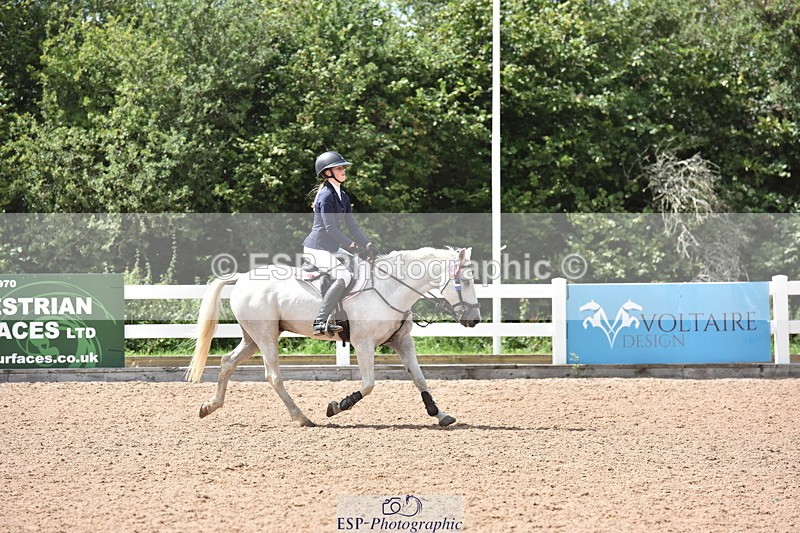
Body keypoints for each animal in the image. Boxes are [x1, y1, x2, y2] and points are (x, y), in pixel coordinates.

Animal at [185, 247, 481, 427]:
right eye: (465, 281)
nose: (474, 319)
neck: (392, 287)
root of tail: (243, 278)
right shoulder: (363, 343)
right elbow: (369, 384)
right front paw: (338, 405)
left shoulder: (401, 342)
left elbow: (420, 378)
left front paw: (440, 414)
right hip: (265, 336)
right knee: (273, 376)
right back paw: (302, 418)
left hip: (253, 338)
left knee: (227, 362)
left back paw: (209, 406)